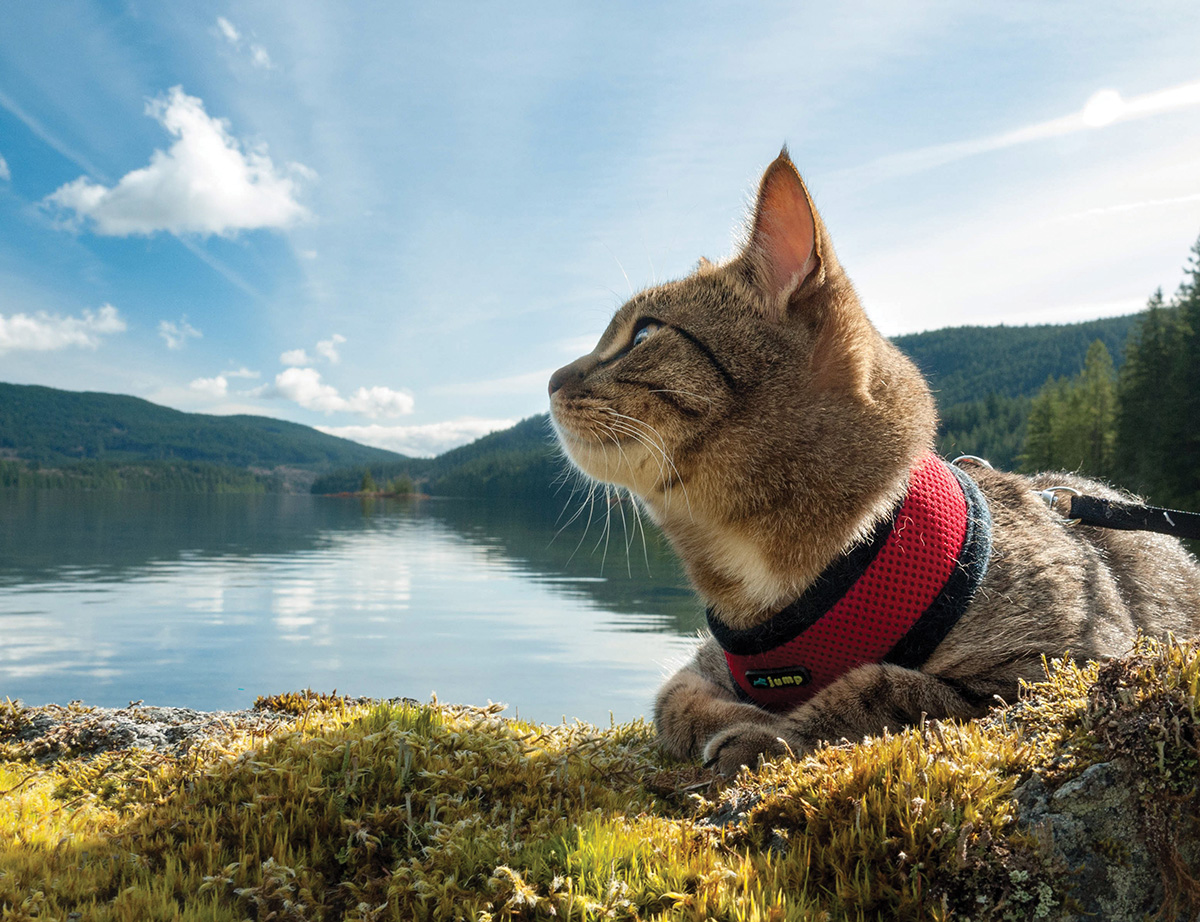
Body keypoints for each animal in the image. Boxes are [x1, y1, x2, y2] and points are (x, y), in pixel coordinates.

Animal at [547, 151, 1200, 777]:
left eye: (642, 336)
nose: (552, 378)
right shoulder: (704, 662)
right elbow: (675, 701)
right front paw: (741, 721)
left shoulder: (1063, 664)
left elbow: (880, 686)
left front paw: (777, 735)